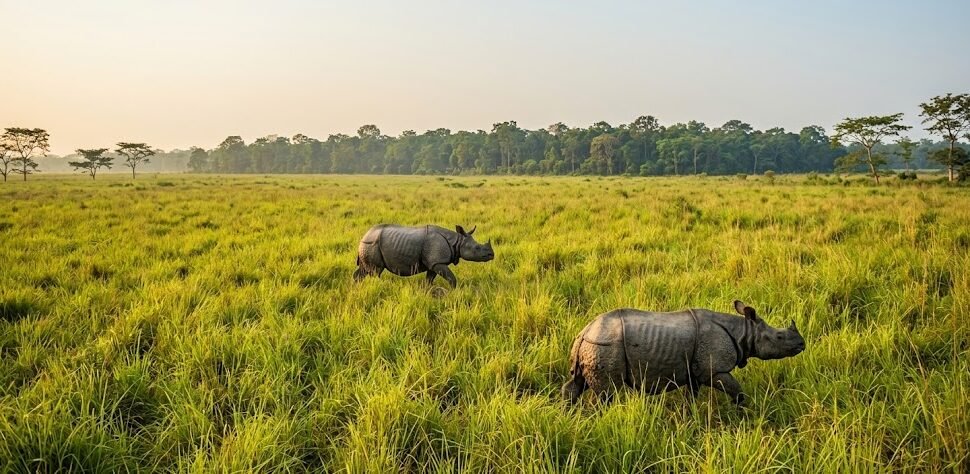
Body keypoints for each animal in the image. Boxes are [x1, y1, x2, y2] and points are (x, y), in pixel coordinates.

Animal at [354, 224, 494, 287]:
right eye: (477, 248)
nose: (492, 255)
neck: (457, 242)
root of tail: (364, 236)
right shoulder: (438, 262)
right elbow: (451, 278)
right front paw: (454, 291)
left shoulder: (434, 263)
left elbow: (429, 279)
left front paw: (427, 291)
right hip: (372, 244)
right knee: (376, 271)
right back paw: (379, 286)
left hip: (367, 245)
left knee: (364, 270)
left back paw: (357, 286)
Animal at [562, 300, 805, 405]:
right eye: (779, 337)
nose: (802, 344)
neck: (744, 331)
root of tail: (584, 331)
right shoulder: (713, 370)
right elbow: (737, 390)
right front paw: (741, 412)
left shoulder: (695, 371)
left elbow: (692, 396)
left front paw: (690, 416)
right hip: (605, 345)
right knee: (607, 392)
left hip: (591, 346)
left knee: (578, 383)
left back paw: (568, 412)